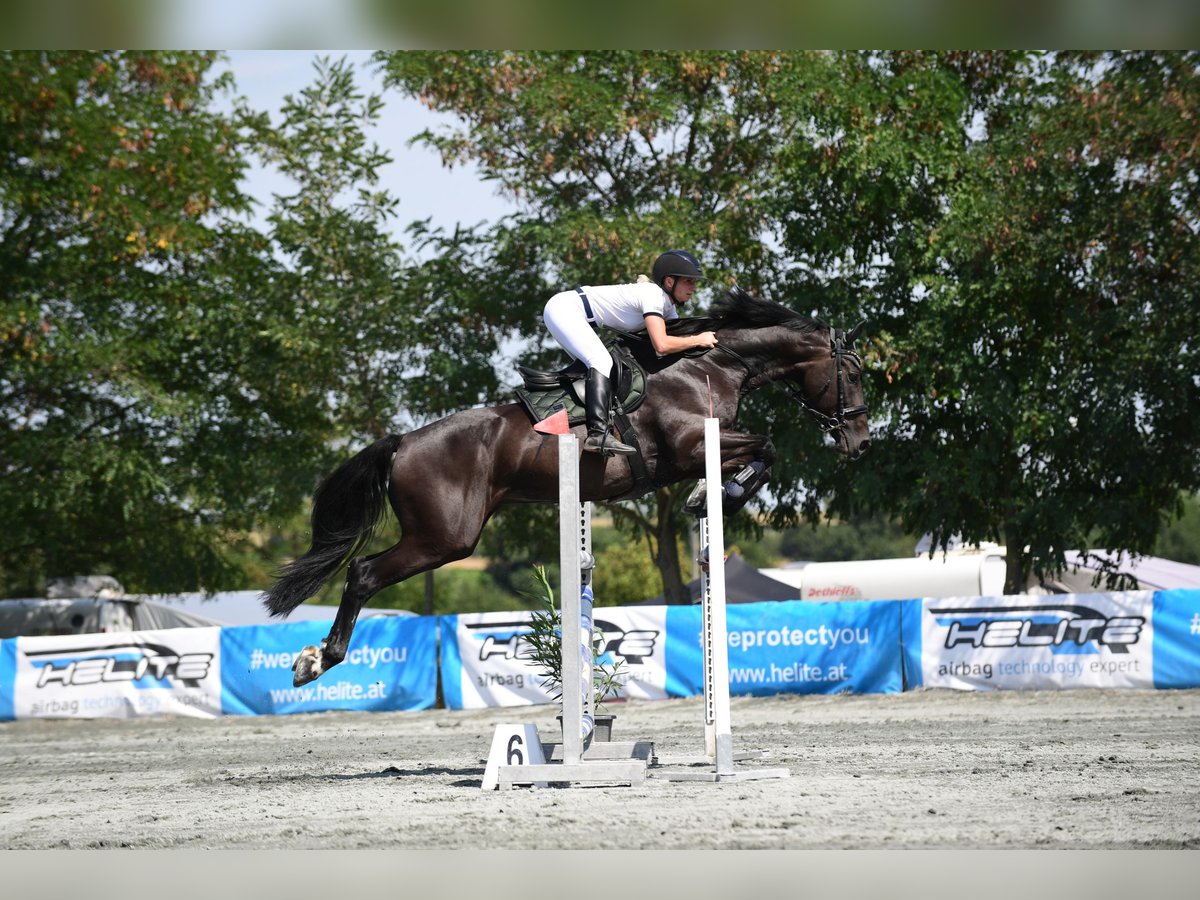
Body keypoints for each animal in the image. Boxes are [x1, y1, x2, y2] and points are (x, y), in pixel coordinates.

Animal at [265, 292, 873, 686]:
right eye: (854, 374)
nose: (862, 443)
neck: (712, 362)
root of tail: (403, 442)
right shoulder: (689, 446)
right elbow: (767, 447)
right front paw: (718, 495)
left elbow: (764, 451)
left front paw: (714, 495)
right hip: (446, 538)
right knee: (364, 573)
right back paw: (317, 660)